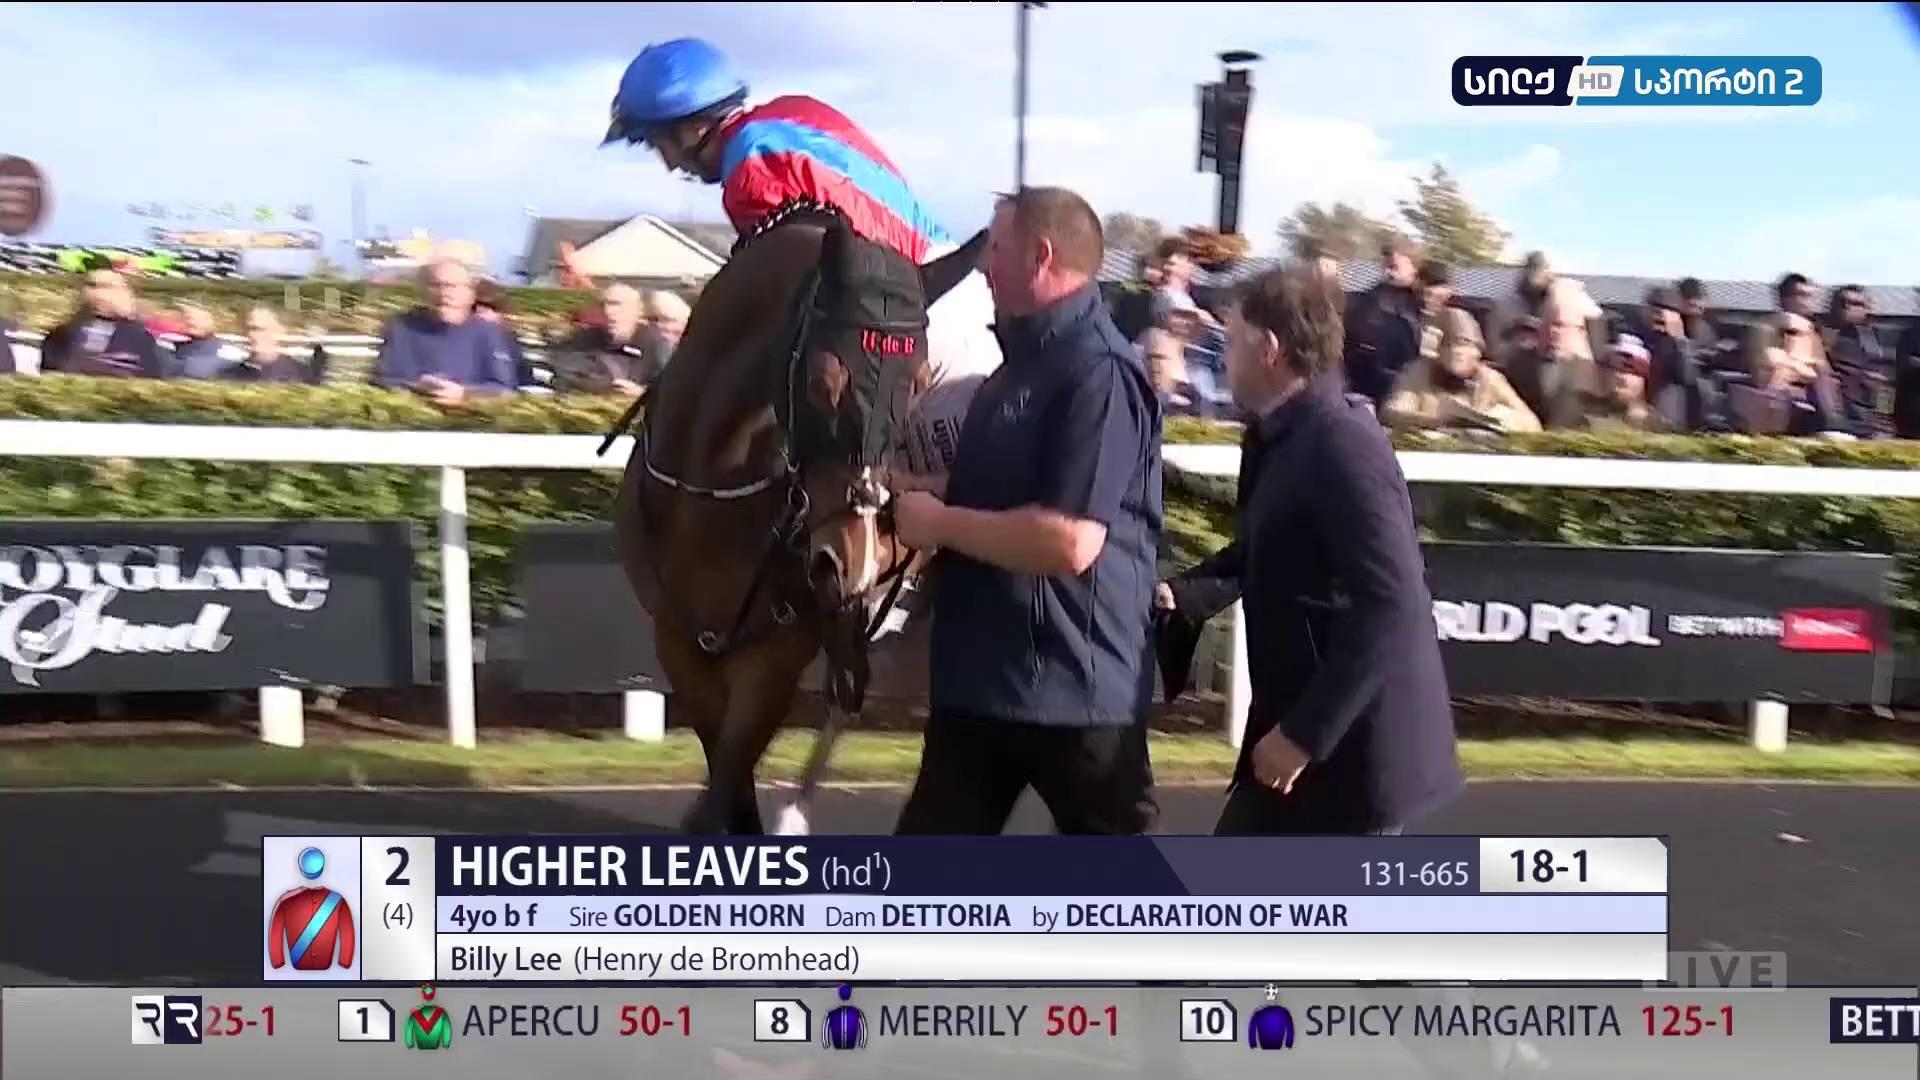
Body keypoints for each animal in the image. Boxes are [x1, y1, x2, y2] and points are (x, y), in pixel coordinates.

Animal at [610, 205, 984, 835]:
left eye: (917, 383)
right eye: (822, 381)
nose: (853, 560)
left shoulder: (777, 655)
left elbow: (734, 769)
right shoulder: (679, 642)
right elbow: (724, 773)